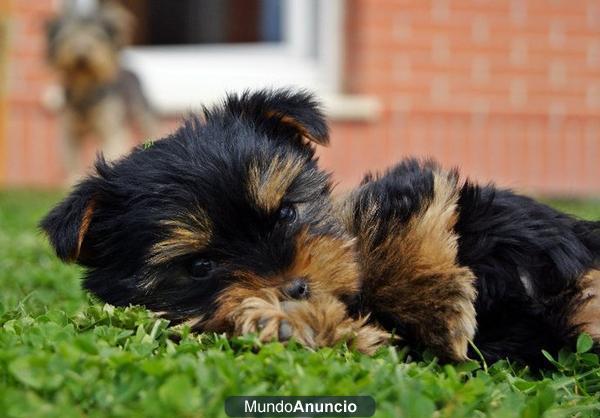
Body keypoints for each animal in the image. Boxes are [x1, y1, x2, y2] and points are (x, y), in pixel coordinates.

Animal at [42, 89, 600, 366]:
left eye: (287, 214)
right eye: (199, 267)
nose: (293, 287)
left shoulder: (421, 194)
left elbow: (403, 222)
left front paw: (437, 302)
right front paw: (285, 322)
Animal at [46, 0, 156, 183]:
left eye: (97, 36)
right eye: (70, 36)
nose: (82, 53)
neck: (85, 87)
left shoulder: (110, 127)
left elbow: (112, 147)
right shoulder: (69, 132)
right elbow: (71, 158)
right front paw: (71, 179)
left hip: (142, 114)